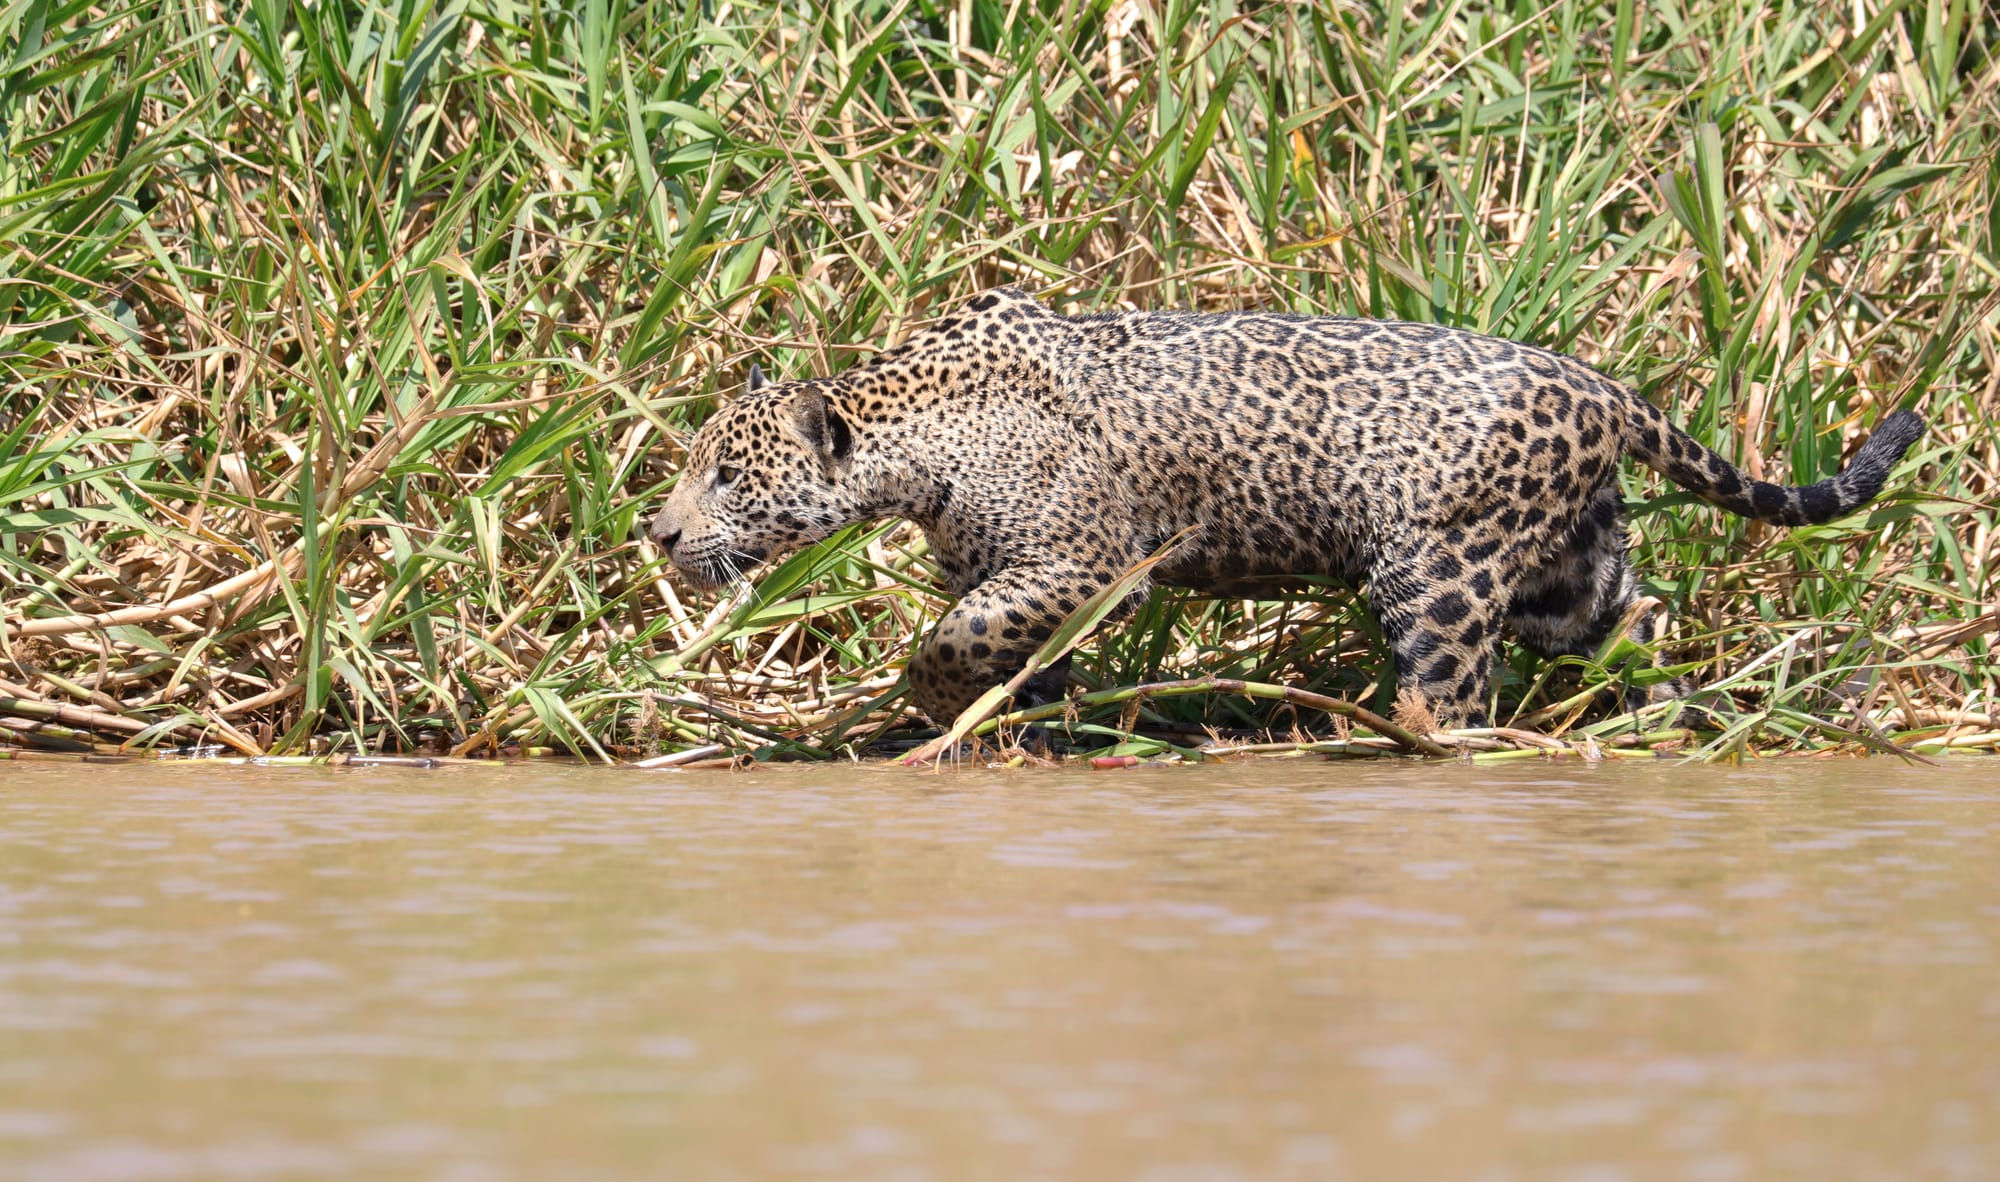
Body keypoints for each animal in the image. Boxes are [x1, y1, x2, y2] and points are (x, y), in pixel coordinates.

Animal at [647, 287, 1925, 730]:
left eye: (725, 475)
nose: (655, 532)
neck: (913, 433)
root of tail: (1600, 385)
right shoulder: (1012, 578)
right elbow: (1007, 653)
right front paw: (1013, 728)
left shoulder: (1084, 563)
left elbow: (953, 640)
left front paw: (925, 700)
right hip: (1564, 567)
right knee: (1632, 619)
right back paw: (1655, 719)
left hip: (1440, 569)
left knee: (1453, 693)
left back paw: (1415, 742)